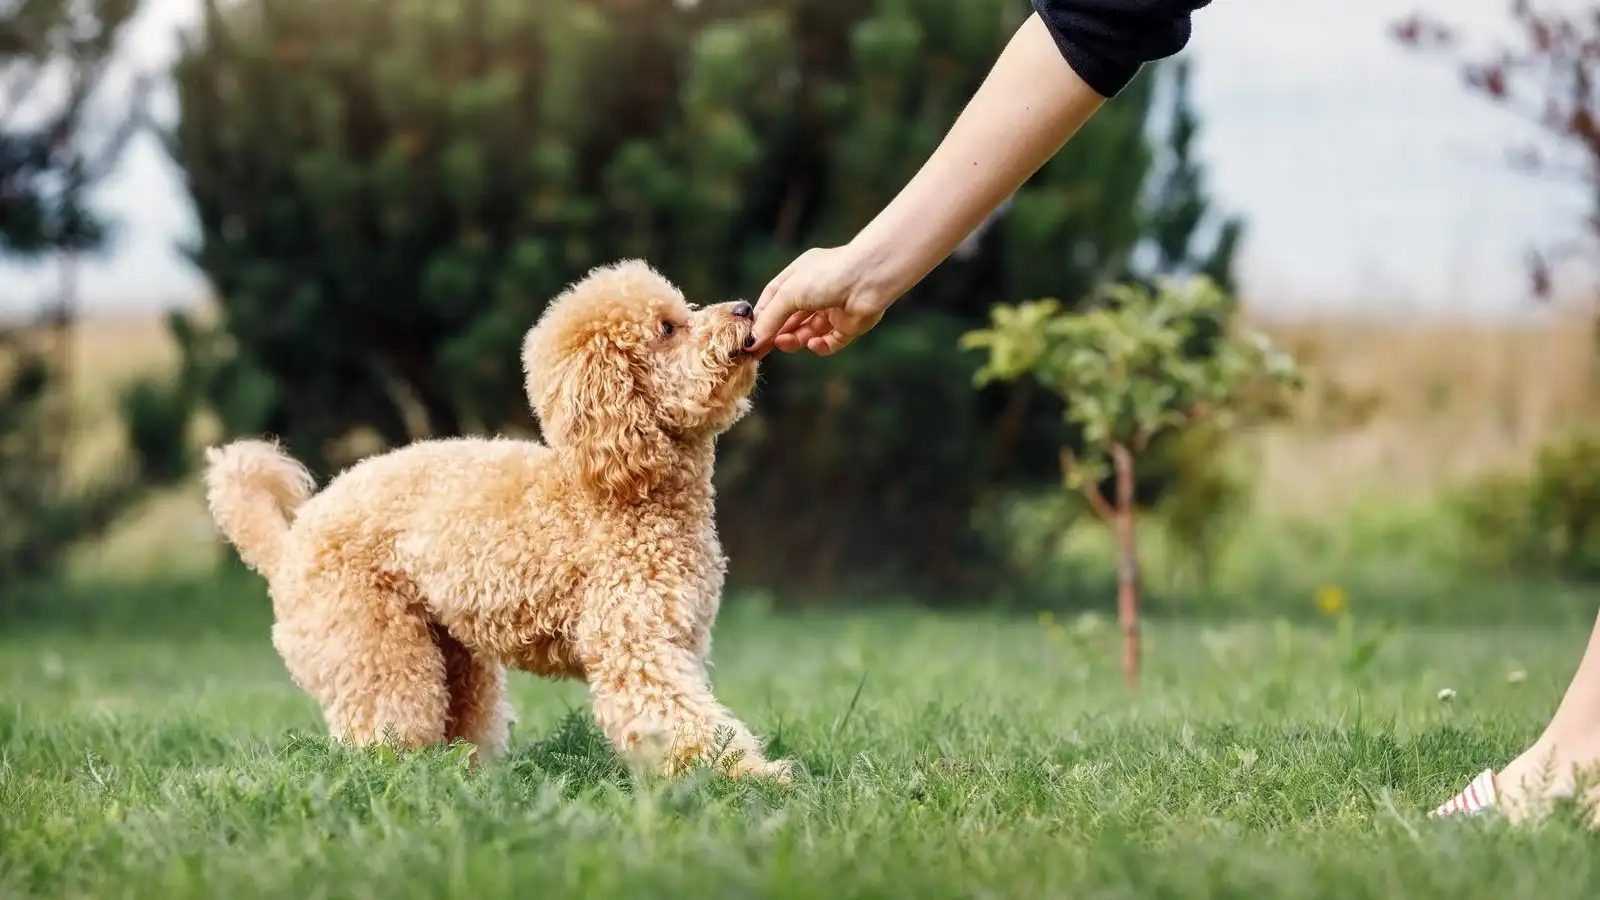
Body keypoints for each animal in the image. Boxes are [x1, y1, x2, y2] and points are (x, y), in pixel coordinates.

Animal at [203, 257, 790, 778]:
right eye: (667, 329)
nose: (745, 308)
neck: (619, 493)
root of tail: (289, 544)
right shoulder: (635, 643)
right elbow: (676, 716)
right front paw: (750, 777)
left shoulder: (676, 639)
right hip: (372, 641)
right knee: (387, 727)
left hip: (454, 652)